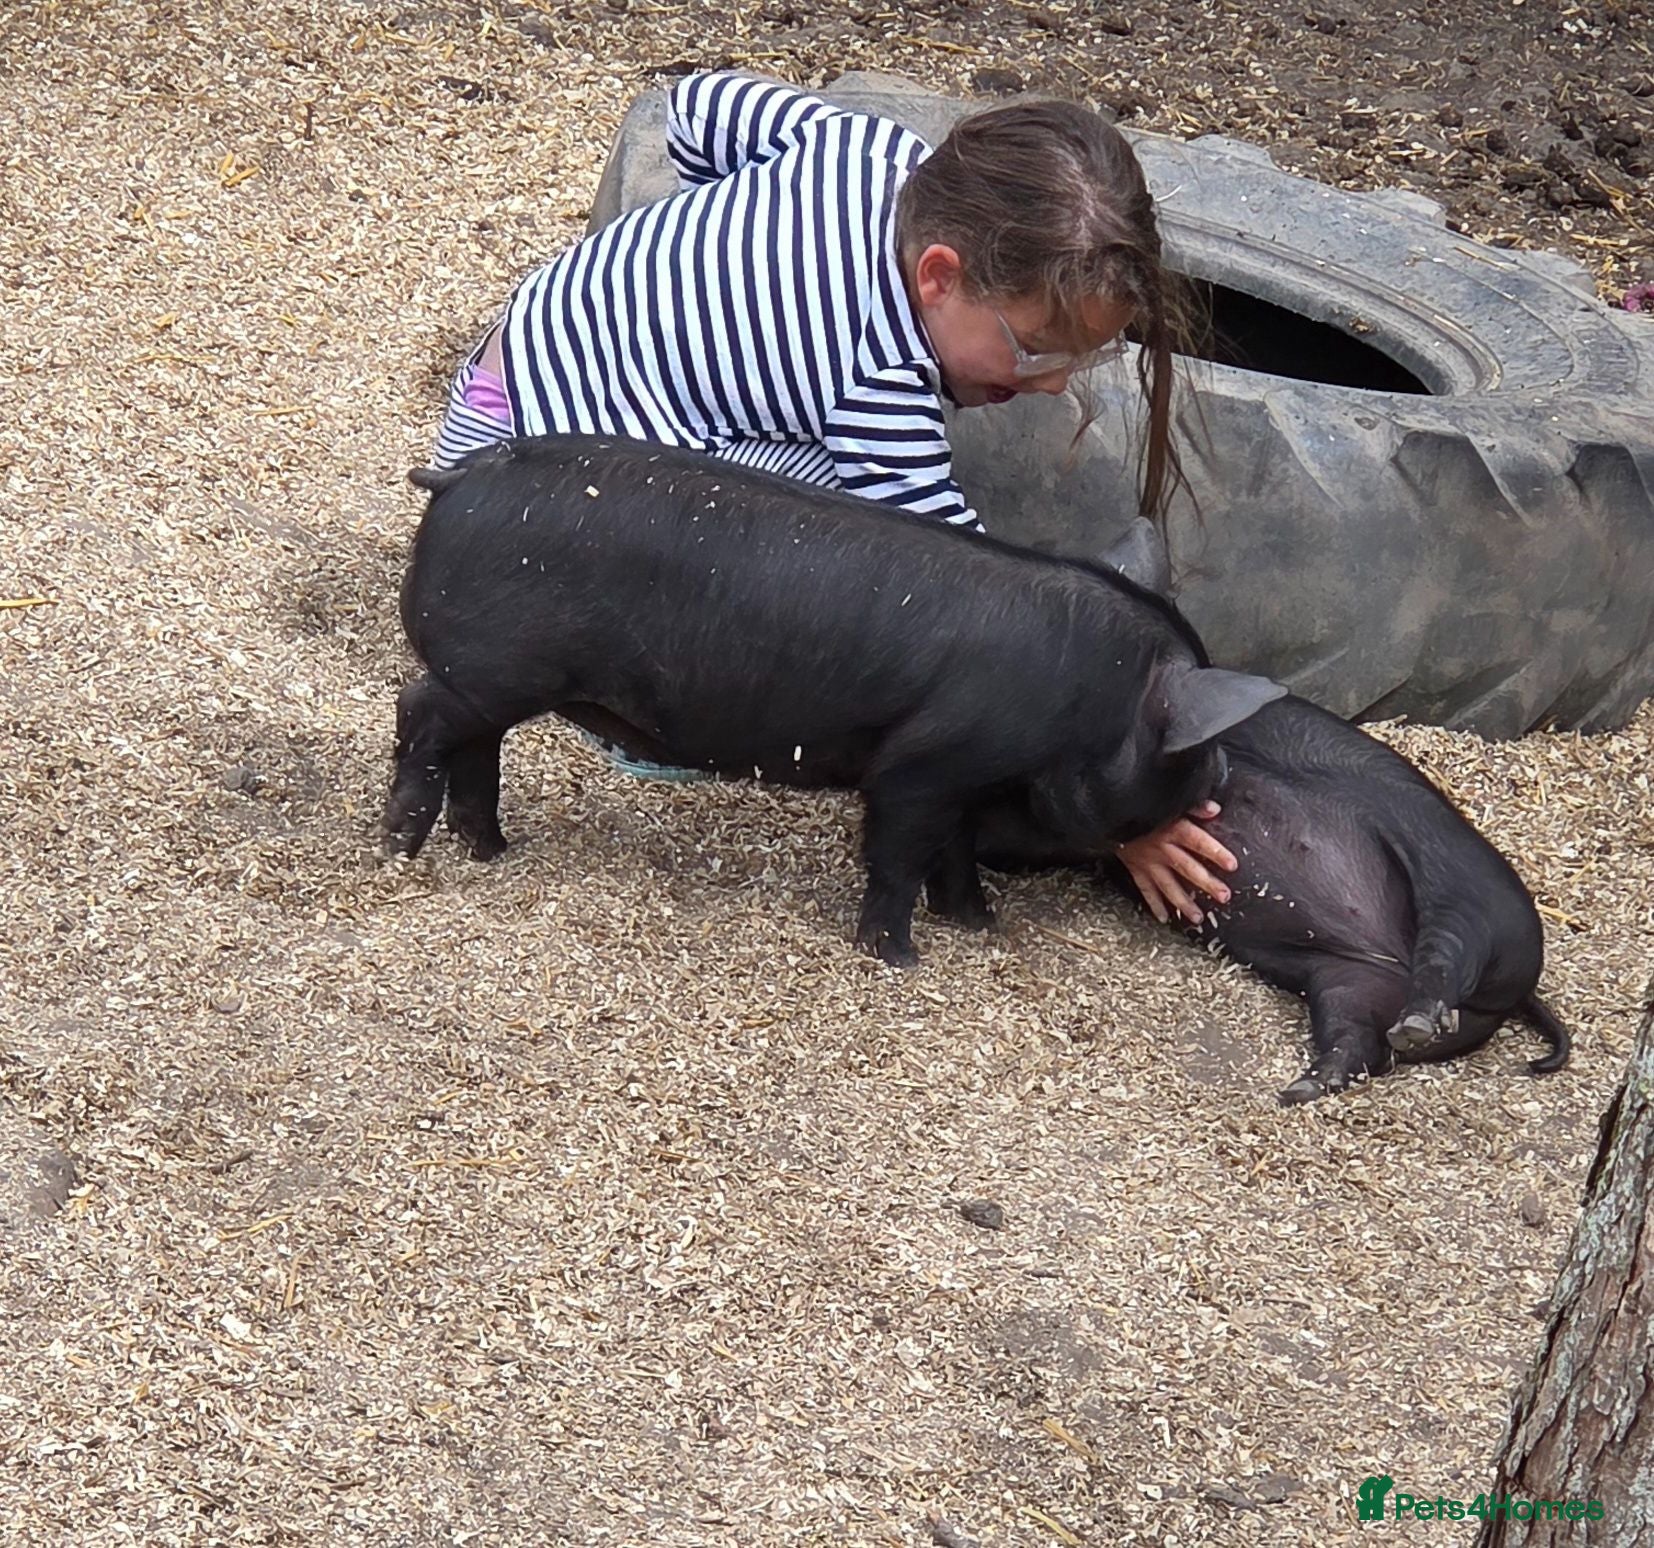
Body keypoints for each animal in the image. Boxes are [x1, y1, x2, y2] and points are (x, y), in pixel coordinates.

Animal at [971, 520, 1571, 1104]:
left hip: (1468, 888)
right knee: (1362, 1043)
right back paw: (1307, 1083)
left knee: (1449, 952)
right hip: (1344, 979)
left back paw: (1415, 1024)